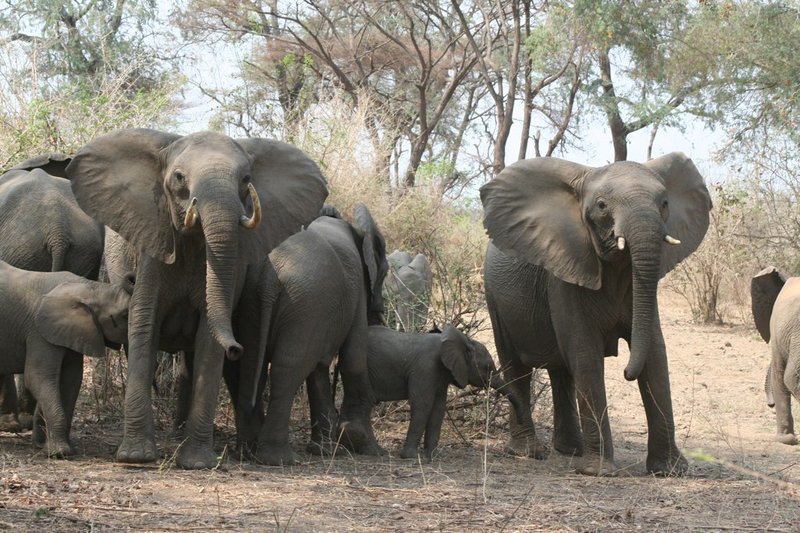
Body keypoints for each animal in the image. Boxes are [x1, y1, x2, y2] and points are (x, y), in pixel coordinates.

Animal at [0, 260, 130, 456]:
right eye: (125, 315)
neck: (91, 287)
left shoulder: (73, 331)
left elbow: (71, 380)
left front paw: (46, 447)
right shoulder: (39, 332)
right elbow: (38, 377)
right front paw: (59, 453)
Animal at [66, 128, 328, 469]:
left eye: (246, 179)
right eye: (178, 177)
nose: (236, 348)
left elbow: (208, 337)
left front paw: (197, 463)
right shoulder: (153, 247)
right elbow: (144, 324)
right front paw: (136, 458)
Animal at [231, 203, 387, 465]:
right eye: (385, 273)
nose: (382, 309)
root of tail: (270, 272)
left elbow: (318, 370)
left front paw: (324, 451)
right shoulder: (355, 294)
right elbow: (353, 357)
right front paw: (368, 448)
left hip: (255, 300)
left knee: (251, 365)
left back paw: (246, 452)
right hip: (305, 300)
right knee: (287, 370)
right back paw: (278, 459)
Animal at [366, 324, 524, 460]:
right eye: (488, 367)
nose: (521, 422)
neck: (463, 340)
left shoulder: (441, 375)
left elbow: (439, 407)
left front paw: (434, 455)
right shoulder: (426, 367)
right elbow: (423, 404)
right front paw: (411, 456)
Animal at [481, 152, 712, 476]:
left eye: (665, 203)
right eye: (602, 206)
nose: (626, 371)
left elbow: (654, 354)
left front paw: (670, 471)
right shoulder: (564, 276)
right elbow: (585, 352)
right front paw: (599, 472)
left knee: (561, 372)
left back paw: (570, 450)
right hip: (494, 298)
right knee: (517, 366)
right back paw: (528, 452)